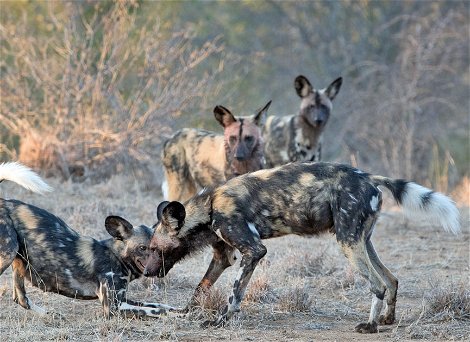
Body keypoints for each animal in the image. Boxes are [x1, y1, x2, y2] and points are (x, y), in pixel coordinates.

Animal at [0, 163, 173, 318]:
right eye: (142, 248)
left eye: (161, 248)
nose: (161, 266)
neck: (116, 257)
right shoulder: (113, 307)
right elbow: (155, 310)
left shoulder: (122, 300)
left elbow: (158, 305)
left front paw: (176, 310)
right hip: (8, 253)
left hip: (18, 261)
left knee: (20, 298)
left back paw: (51, 315)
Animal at [144, 162, 458, 332]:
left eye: (155, 249)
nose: (146, 273)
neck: (209, 207)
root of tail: (369, 176)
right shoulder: (224, 257)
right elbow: (201, 288)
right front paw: (185, 312)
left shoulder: (253, 251)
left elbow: (235, 294)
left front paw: (221, 320)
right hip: (361, 241)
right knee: (391, 279)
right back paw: (387, 319)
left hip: (347, 243)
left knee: (377, 284)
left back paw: (369, 327)